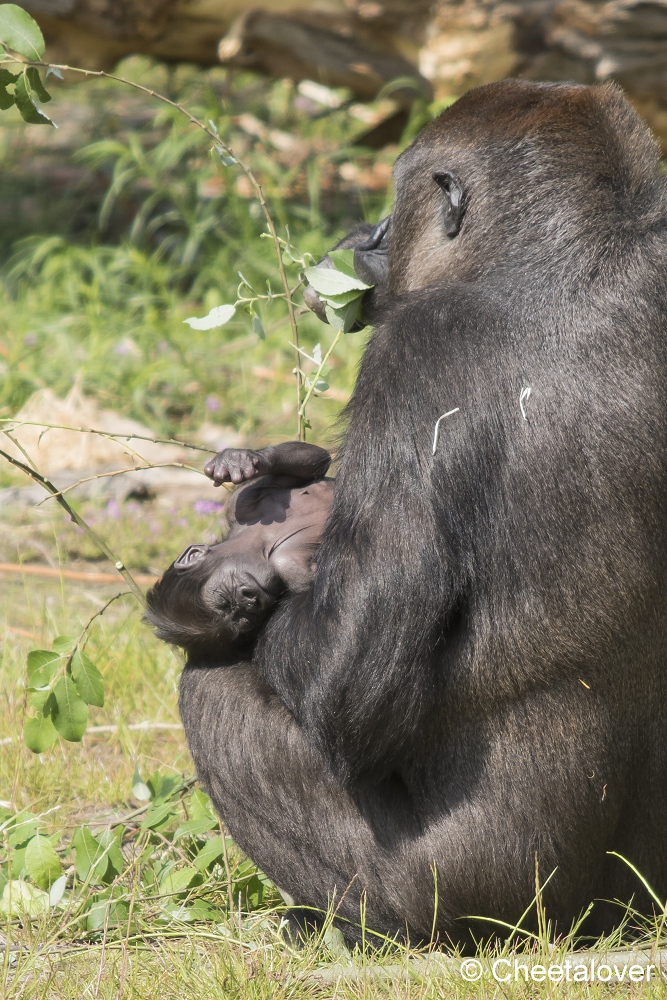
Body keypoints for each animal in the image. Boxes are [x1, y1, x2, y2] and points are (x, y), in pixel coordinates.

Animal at [147, 442, 334, 660]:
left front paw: (237, 459)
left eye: (225, 598)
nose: (251, 600)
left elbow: (313, 460)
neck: (262, 543)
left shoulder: (241, 503)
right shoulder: (290, 571)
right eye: (241, 616)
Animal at [180, 80, 667, 944]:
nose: (368, 234)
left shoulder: (414, 348)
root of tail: (591, 927)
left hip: (473, 909)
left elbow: (343, 687)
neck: (584, 255)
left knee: (209, 689)